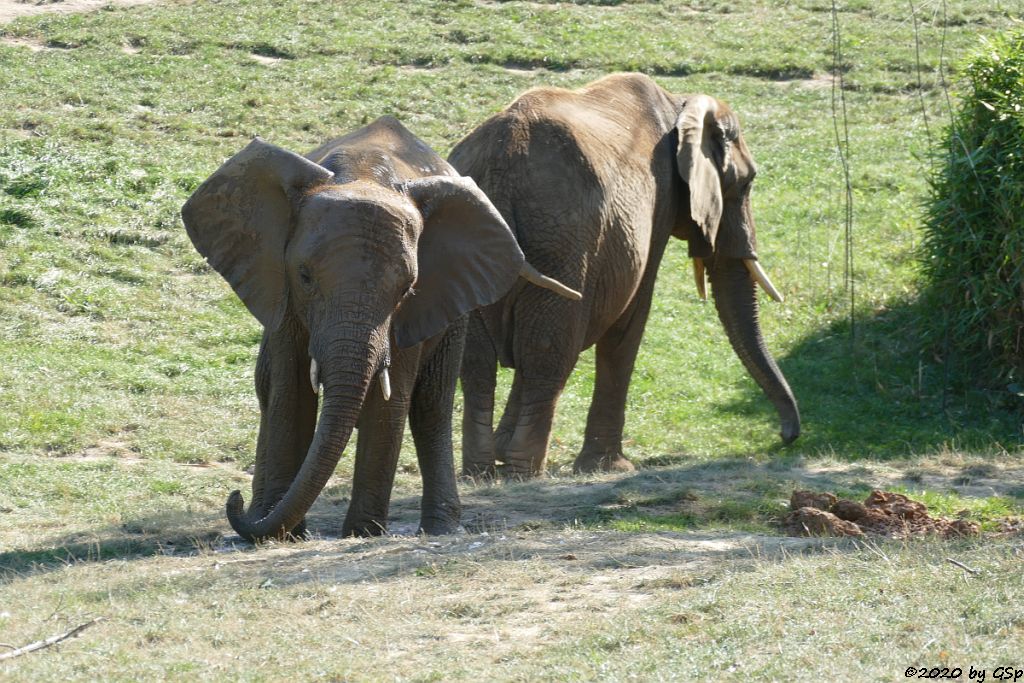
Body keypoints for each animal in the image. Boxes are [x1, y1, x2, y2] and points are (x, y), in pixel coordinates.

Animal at [181, 118, 581, 544]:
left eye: (406, 289)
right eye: (304, 277)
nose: (234, 500)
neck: (363, 173)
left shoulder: (415, 310)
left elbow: (392, 398)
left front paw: (363, 533)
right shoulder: (282, 290)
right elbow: (291, 390)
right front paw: (283, 536)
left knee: (431, 404)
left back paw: (439, 528)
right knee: (269, 386)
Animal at [454, 73, 798, 475]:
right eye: (746, 184)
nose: (786, 437)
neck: (681, 105)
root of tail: (501, 165)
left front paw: (504, 447)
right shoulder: (661, 200)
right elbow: (633, 314)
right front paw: (612, 467)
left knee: (479, 358)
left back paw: (481, 472)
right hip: (564, 243)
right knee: (547, 347)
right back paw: (524, 472)